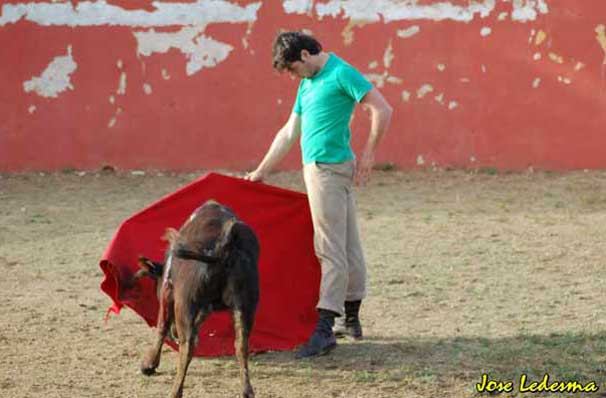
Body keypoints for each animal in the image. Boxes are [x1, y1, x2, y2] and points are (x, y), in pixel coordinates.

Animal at [137, 201, 260, 396]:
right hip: (245, 306)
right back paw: (246, 391)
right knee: (241, 344)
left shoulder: (167, 290)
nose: (174, 333)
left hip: (185, 305)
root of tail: (225, 244)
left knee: (188, 347)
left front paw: (149, 364)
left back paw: (175, 392)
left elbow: (161, 325)